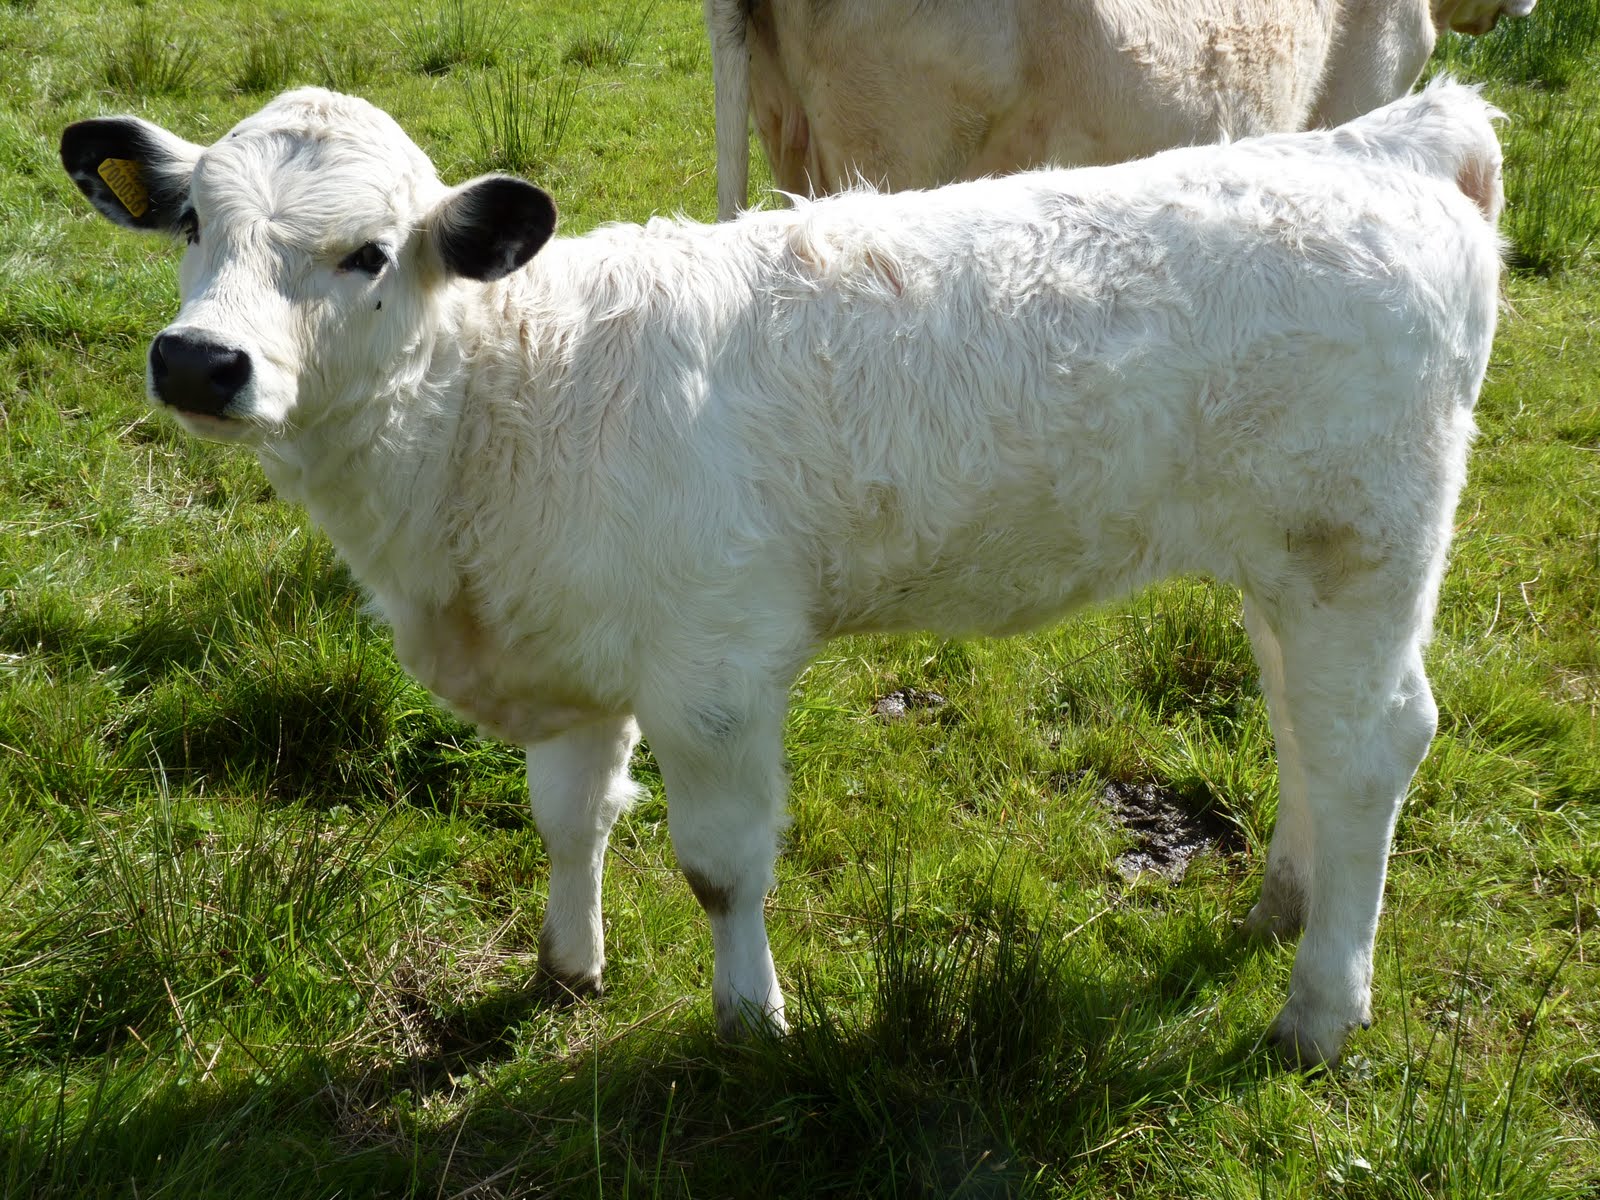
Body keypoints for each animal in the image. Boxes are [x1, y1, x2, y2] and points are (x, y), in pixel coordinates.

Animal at [60, 79, 1503, 1066]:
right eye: (191, 225)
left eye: (365, 252)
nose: (199, 360)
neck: (503, 401)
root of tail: (1385, 137)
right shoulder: (574, 650)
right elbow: (569, 818)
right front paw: (566, 968)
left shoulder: (713, 668)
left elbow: (718, 867)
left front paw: (750, 1019)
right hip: (1287, 565)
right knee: (1303, 725)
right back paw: (1282, 907)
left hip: (1363, 544)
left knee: (1373, 743)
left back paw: (1319, 1008)